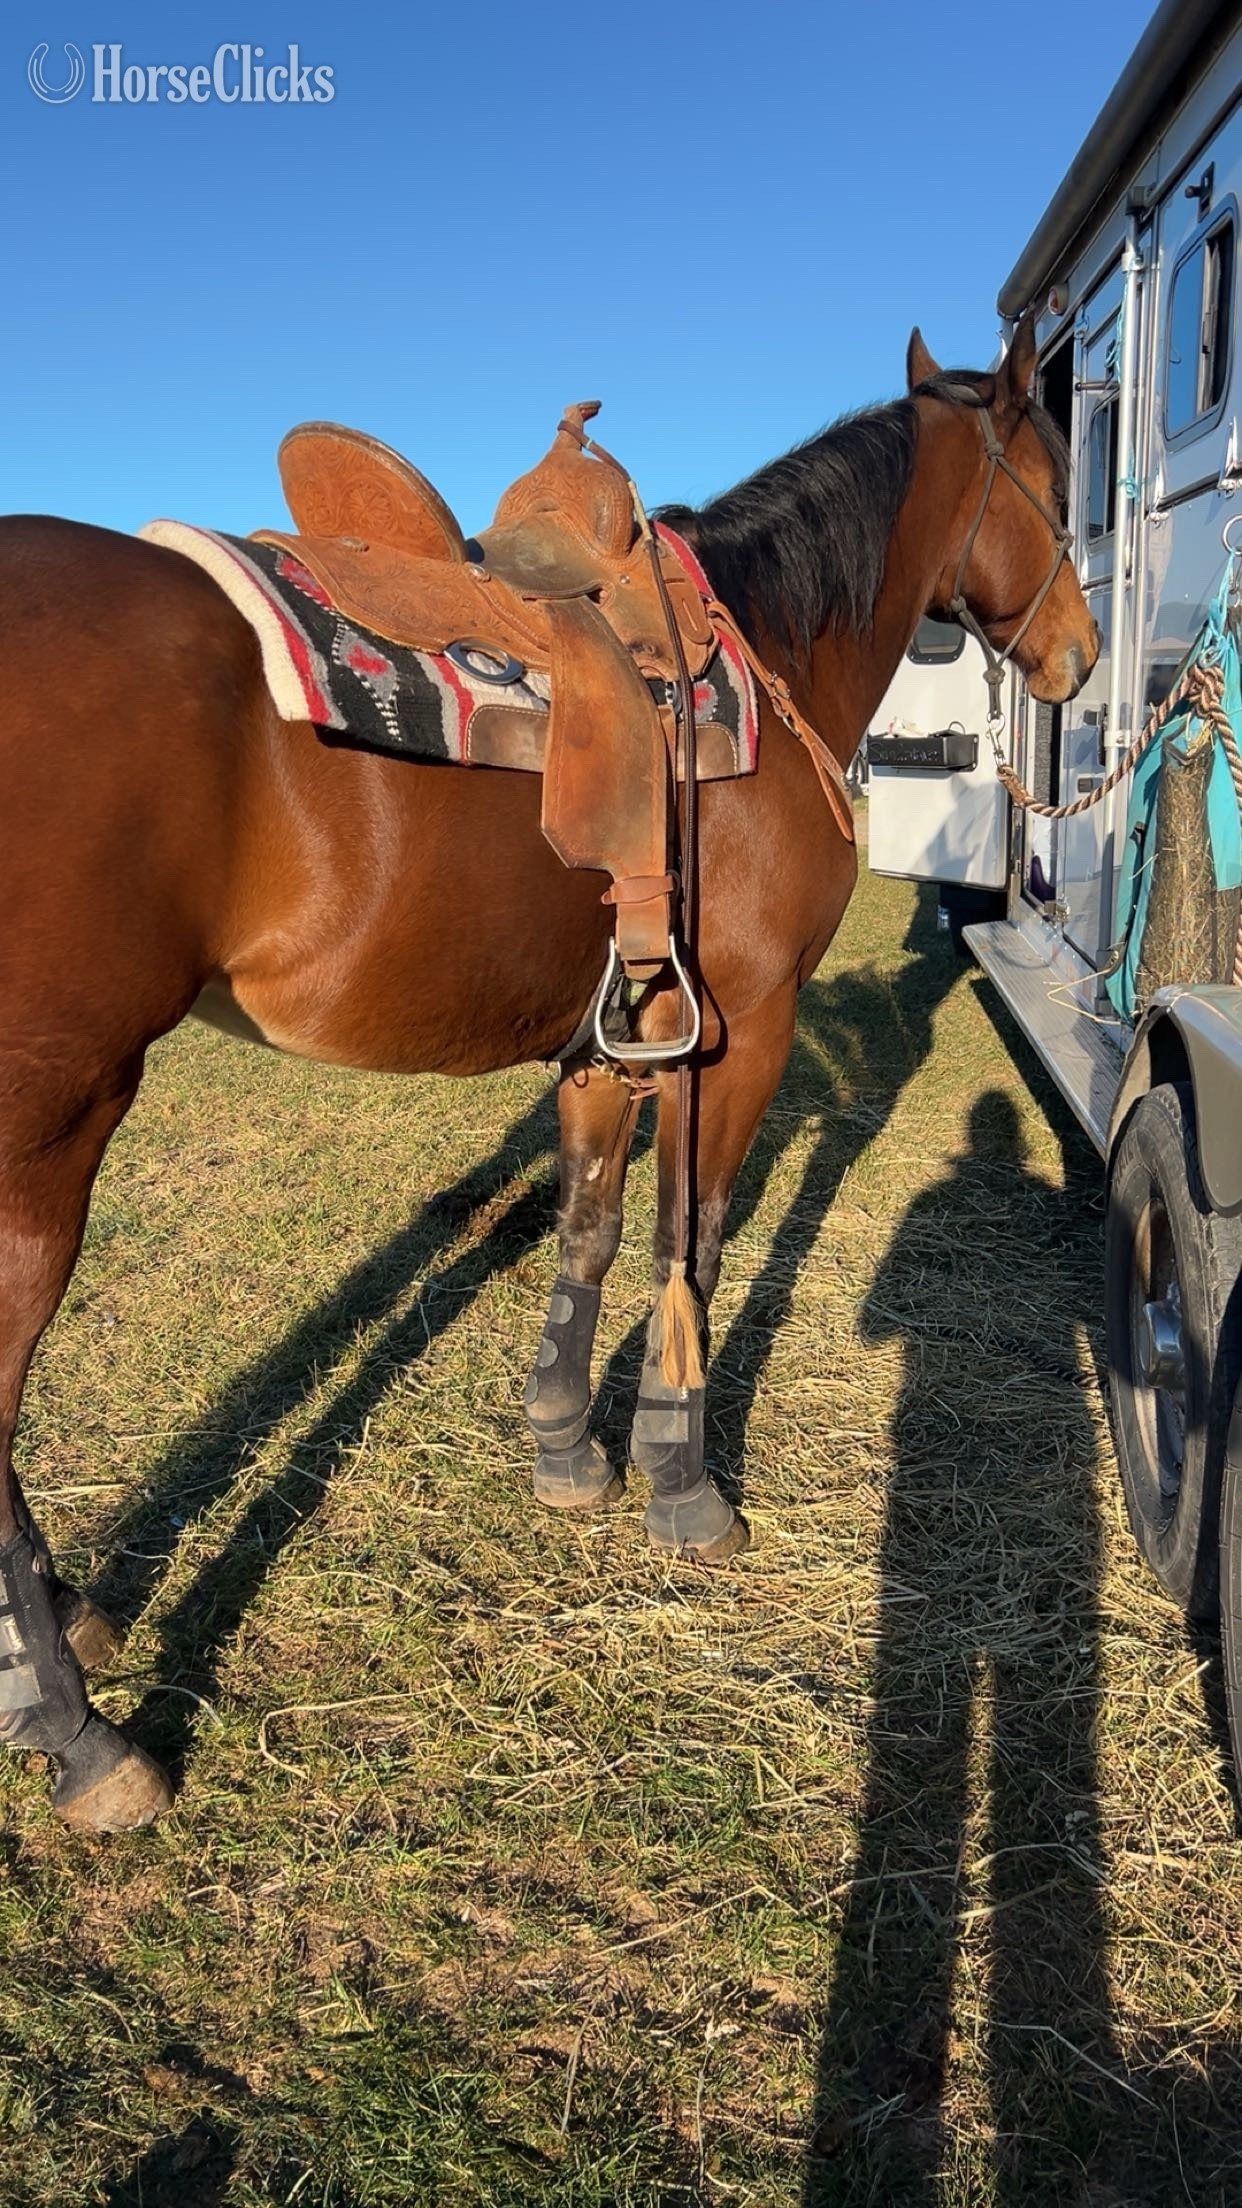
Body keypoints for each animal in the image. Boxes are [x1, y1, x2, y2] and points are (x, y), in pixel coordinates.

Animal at [0, 316, 1097, 1833]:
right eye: (1053, 483)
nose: (1082, 656)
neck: (769, 651)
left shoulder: (603, 1040)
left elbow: (586, 1230)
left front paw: (568, 1451)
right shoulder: (741, 1029)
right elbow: (692, 1241)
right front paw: (683, 1484)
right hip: (52, 1121)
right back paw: (80, 1735)